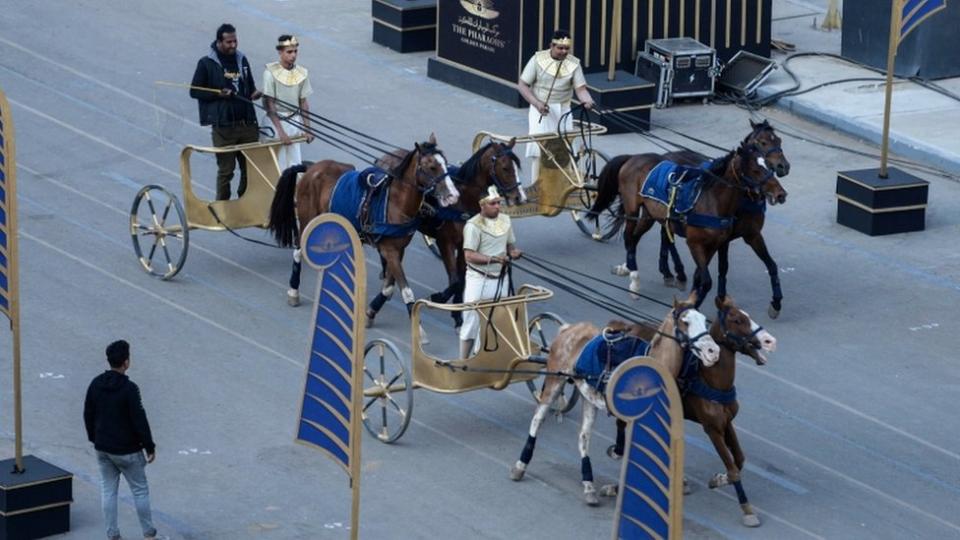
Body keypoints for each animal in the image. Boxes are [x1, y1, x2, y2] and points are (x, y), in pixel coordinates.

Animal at [266, 134, 462, 334]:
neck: (395, 202)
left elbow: (389, 288)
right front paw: (419, 330)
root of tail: (312, 168)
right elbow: (406, 290)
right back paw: (293, 291)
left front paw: (370, 312)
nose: (453, 195)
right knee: (298, 251)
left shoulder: (398, 250)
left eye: (445, 163)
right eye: (432, 167)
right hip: (308, 219)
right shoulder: (390, 250)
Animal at [510, 292, 720, 506]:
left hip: (588, 395)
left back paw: (588, 484)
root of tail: (569, 328)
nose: (713, 351)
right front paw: (619, 485)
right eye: (685, 322)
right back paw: (521, 465)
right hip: (555, 380)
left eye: (704, 320)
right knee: (538, 419)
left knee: (583, 437)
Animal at [592, 122, 788, 308]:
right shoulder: (696, 243)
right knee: (630, 236)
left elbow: (709, 274)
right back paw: (637, 277)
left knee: (637, 238)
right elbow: (708, 279)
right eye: (755, 170)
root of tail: (634, 157)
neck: (714, 200)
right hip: (632, 209)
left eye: (779, 141)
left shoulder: (734, 239)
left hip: (651, 215)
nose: (781, 193)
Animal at [652, 120, 796, 318]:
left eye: (779, 140)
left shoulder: (752, 235)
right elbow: (721, 267)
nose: (783, 166)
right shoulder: (723, 239)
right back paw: (672, 271)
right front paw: (713, 298)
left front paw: (776, 302)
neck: (745, 198)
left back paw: (668, 270)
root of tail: (667, 154)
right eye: (762, 142)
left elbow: (771, 265)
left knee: (665, 234)